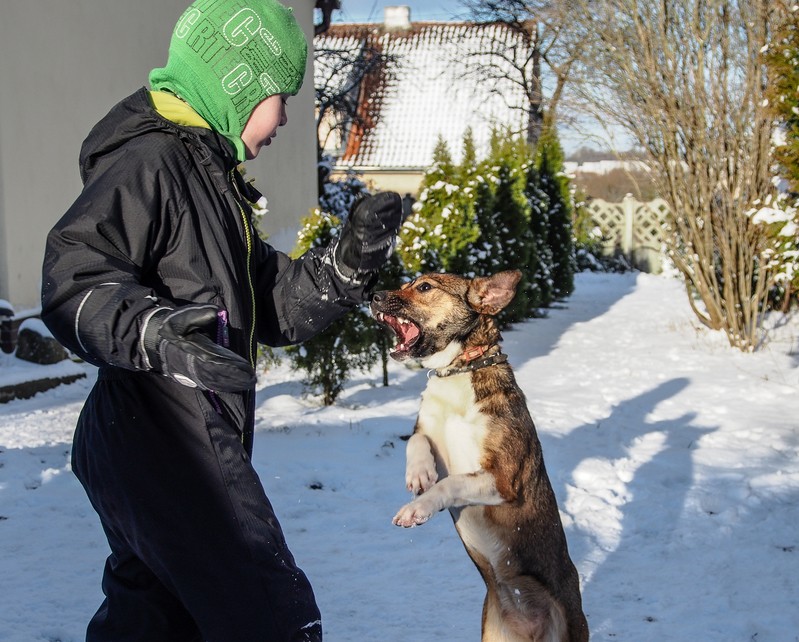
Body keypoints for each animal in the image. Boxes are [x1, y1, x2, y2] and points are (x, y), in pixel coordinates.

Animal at [370, 270, 588, 640]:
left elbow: (451, 484)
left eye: (424, 287)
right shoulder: (427, 430)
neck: (458, 371)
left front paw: (417, 508)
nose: (372, 296)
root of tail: (530, 627)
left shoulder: (502, 479)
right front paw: (419, 474)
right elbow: (416, 442)